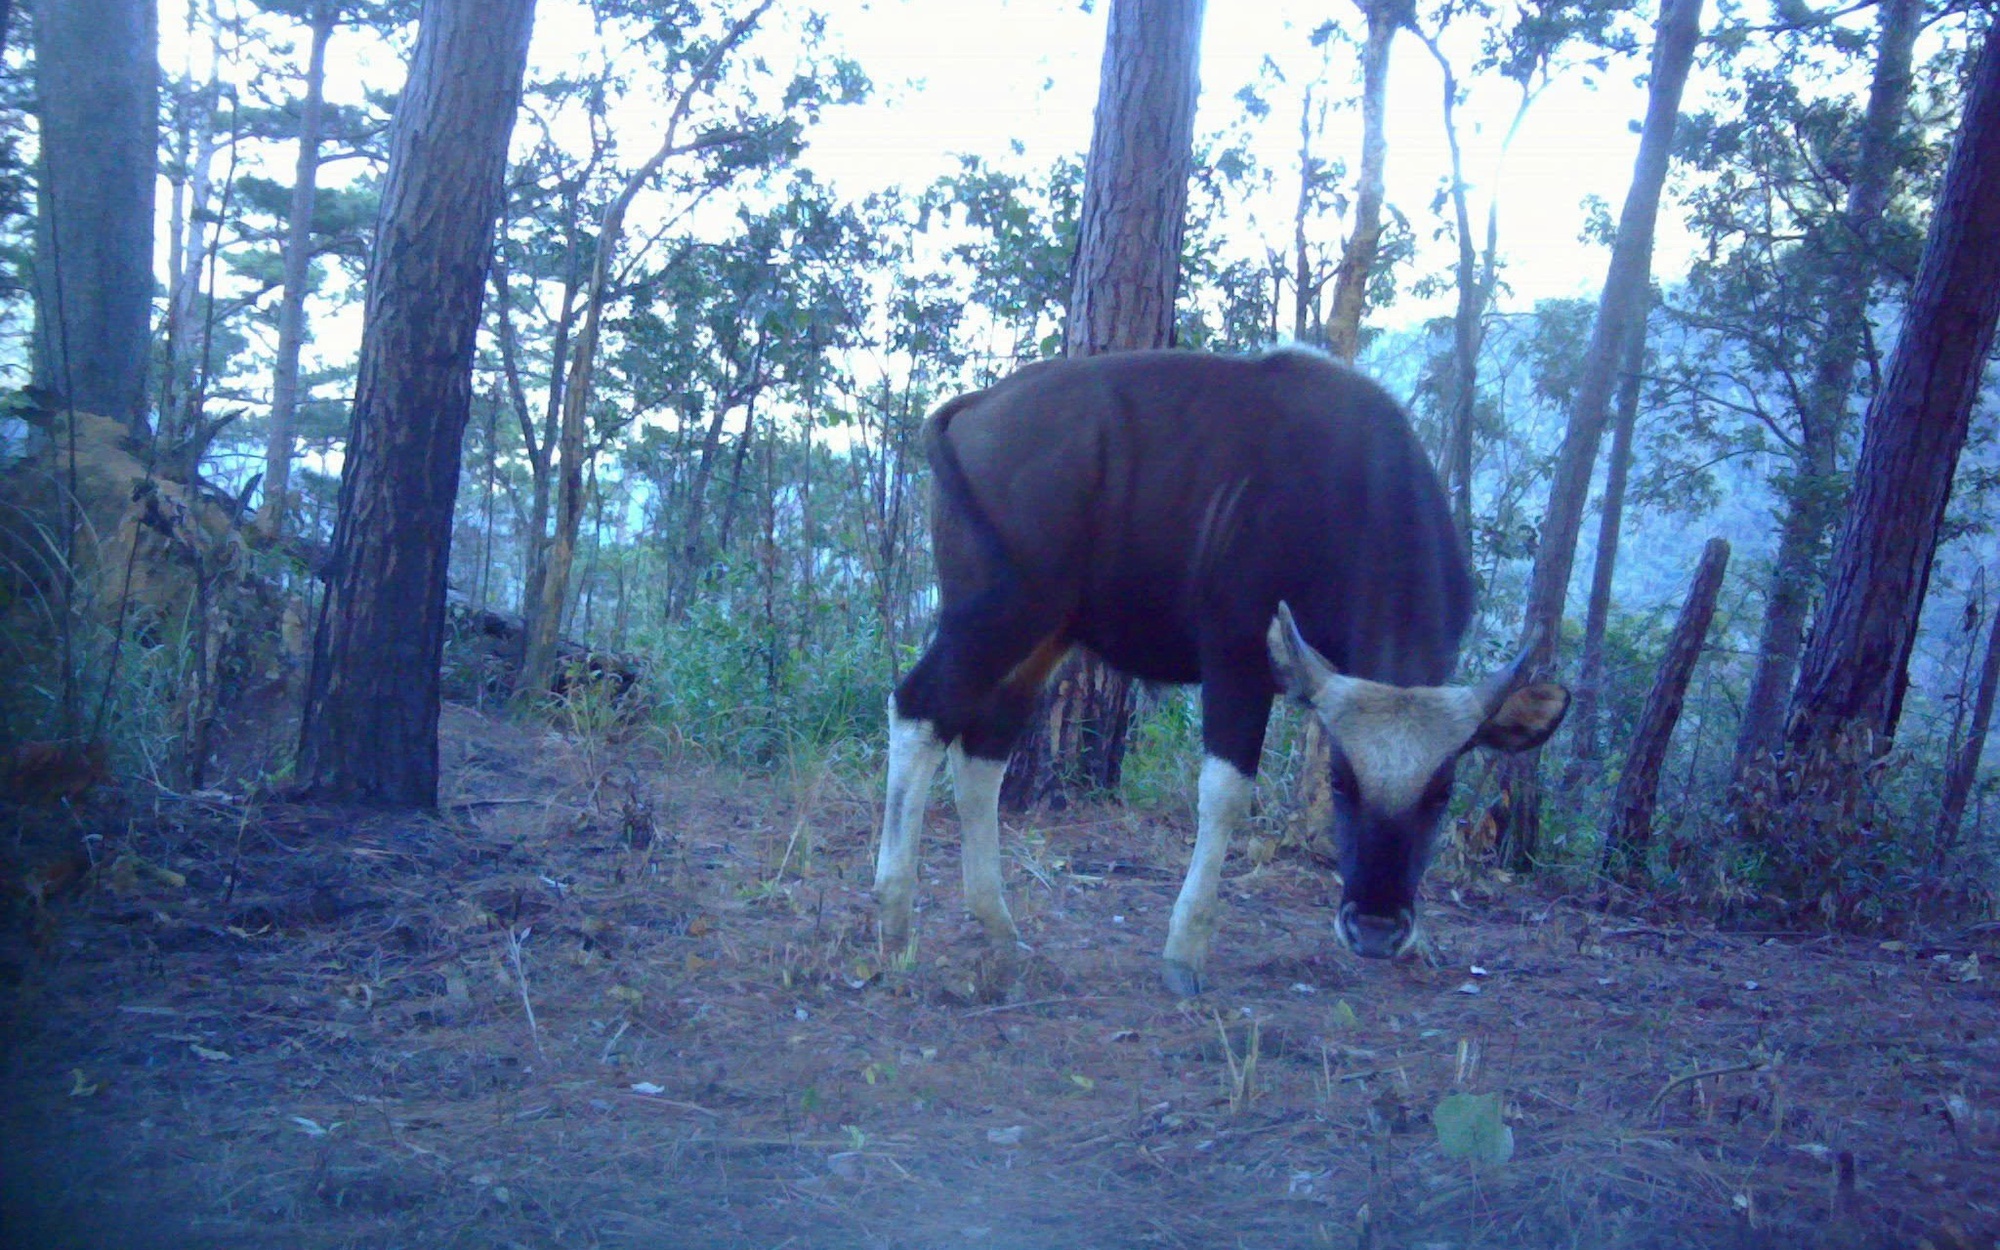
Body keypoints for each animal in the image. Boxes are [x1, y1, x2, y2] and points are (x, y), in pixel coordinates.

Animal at [884, 352, 1568, 996]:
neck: (1354, 493)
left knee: (982, 747)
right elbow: (1226, 794)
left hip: (1044, 634)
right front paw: (1184, 951)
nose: (1375, 928)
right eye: (1341, 782)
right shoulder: (1237, 660)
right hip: (996, 613)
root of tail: (977, 406)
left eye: (1442, 792)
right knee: (918, 707)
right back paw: (891, 914)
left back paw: (997, 923)